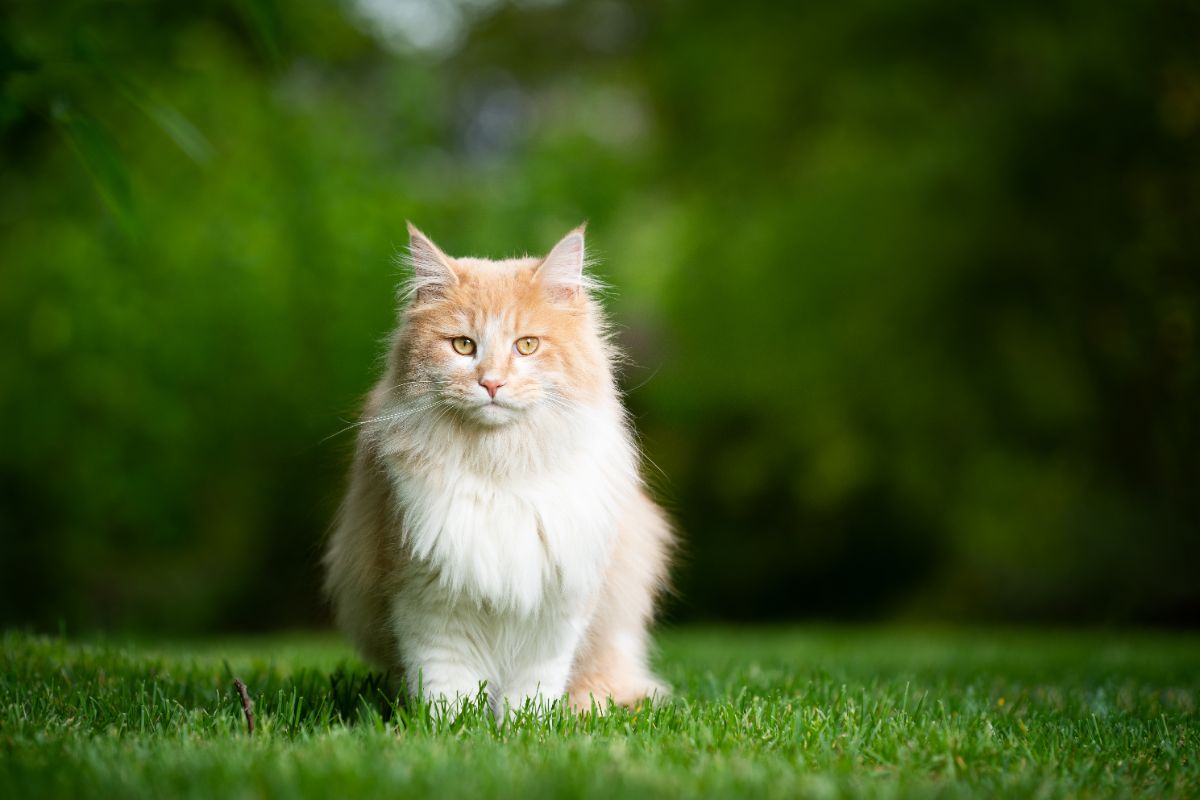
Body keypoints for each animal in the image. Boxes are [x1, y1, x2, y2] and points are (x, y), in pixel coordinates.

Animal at [319, 221, 676, 714]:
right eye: (463, 345)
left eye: (526, 346)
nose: (491, 382)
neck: (500, 468)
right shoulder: (425, 597)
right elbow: (446, 686)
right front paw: (449, 724)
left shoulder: (556, 604)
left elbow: (532, 691)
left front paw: (525, 723)